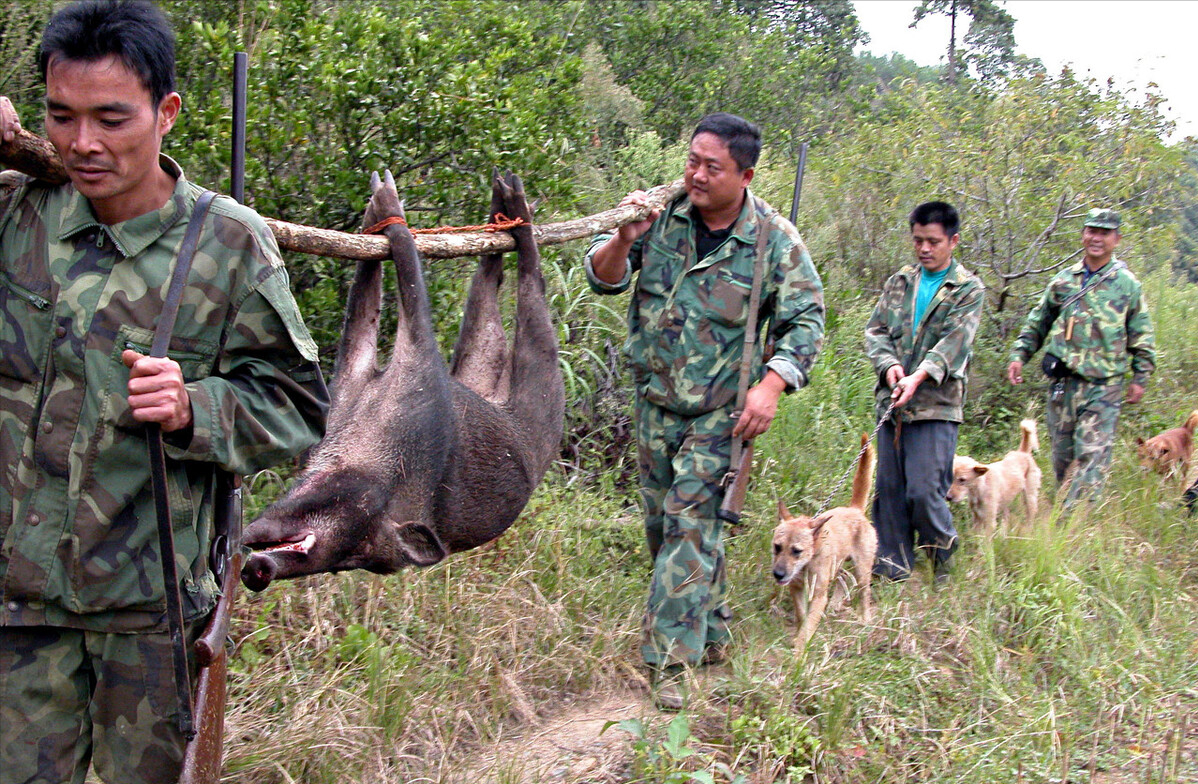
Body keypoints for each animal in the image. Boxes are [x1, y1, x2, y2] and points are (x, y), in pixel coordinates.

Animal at [771, 436, 876, 652]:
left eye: (797, 551)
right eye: (777, 547)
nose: (778, 574)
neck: (807, 564)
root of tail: (855, 510)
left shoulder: (819, 594)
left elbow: (809, 624)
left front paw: (800, 651)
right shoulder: (796, 589)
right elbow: (802, 616)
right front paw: (801, 637)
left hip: (862, 570)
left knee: (864, 593)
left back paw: (865, 619)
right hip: (838, 566)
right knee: (844, 579)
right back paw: (835, 605)